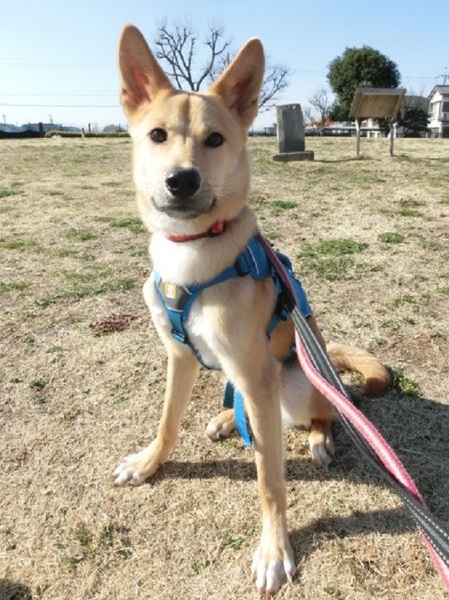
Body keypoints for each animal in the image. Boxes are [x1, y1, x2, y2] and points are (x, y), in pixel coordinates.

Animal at [113, 24, 390, 596]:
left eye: (215, 140)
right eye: (157, 135)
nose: (182, 181)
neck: (194, 250)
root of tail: (324, 355)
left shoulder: (258, 375)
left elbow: (269, 481)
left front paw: (274, 551)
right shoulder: (180, 356)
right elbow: (167, 422)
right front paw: (149, 464)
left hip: (293, 380)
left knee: (325, 411)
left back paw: (319, 438)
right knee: (245, 407)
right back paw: (225, 419)